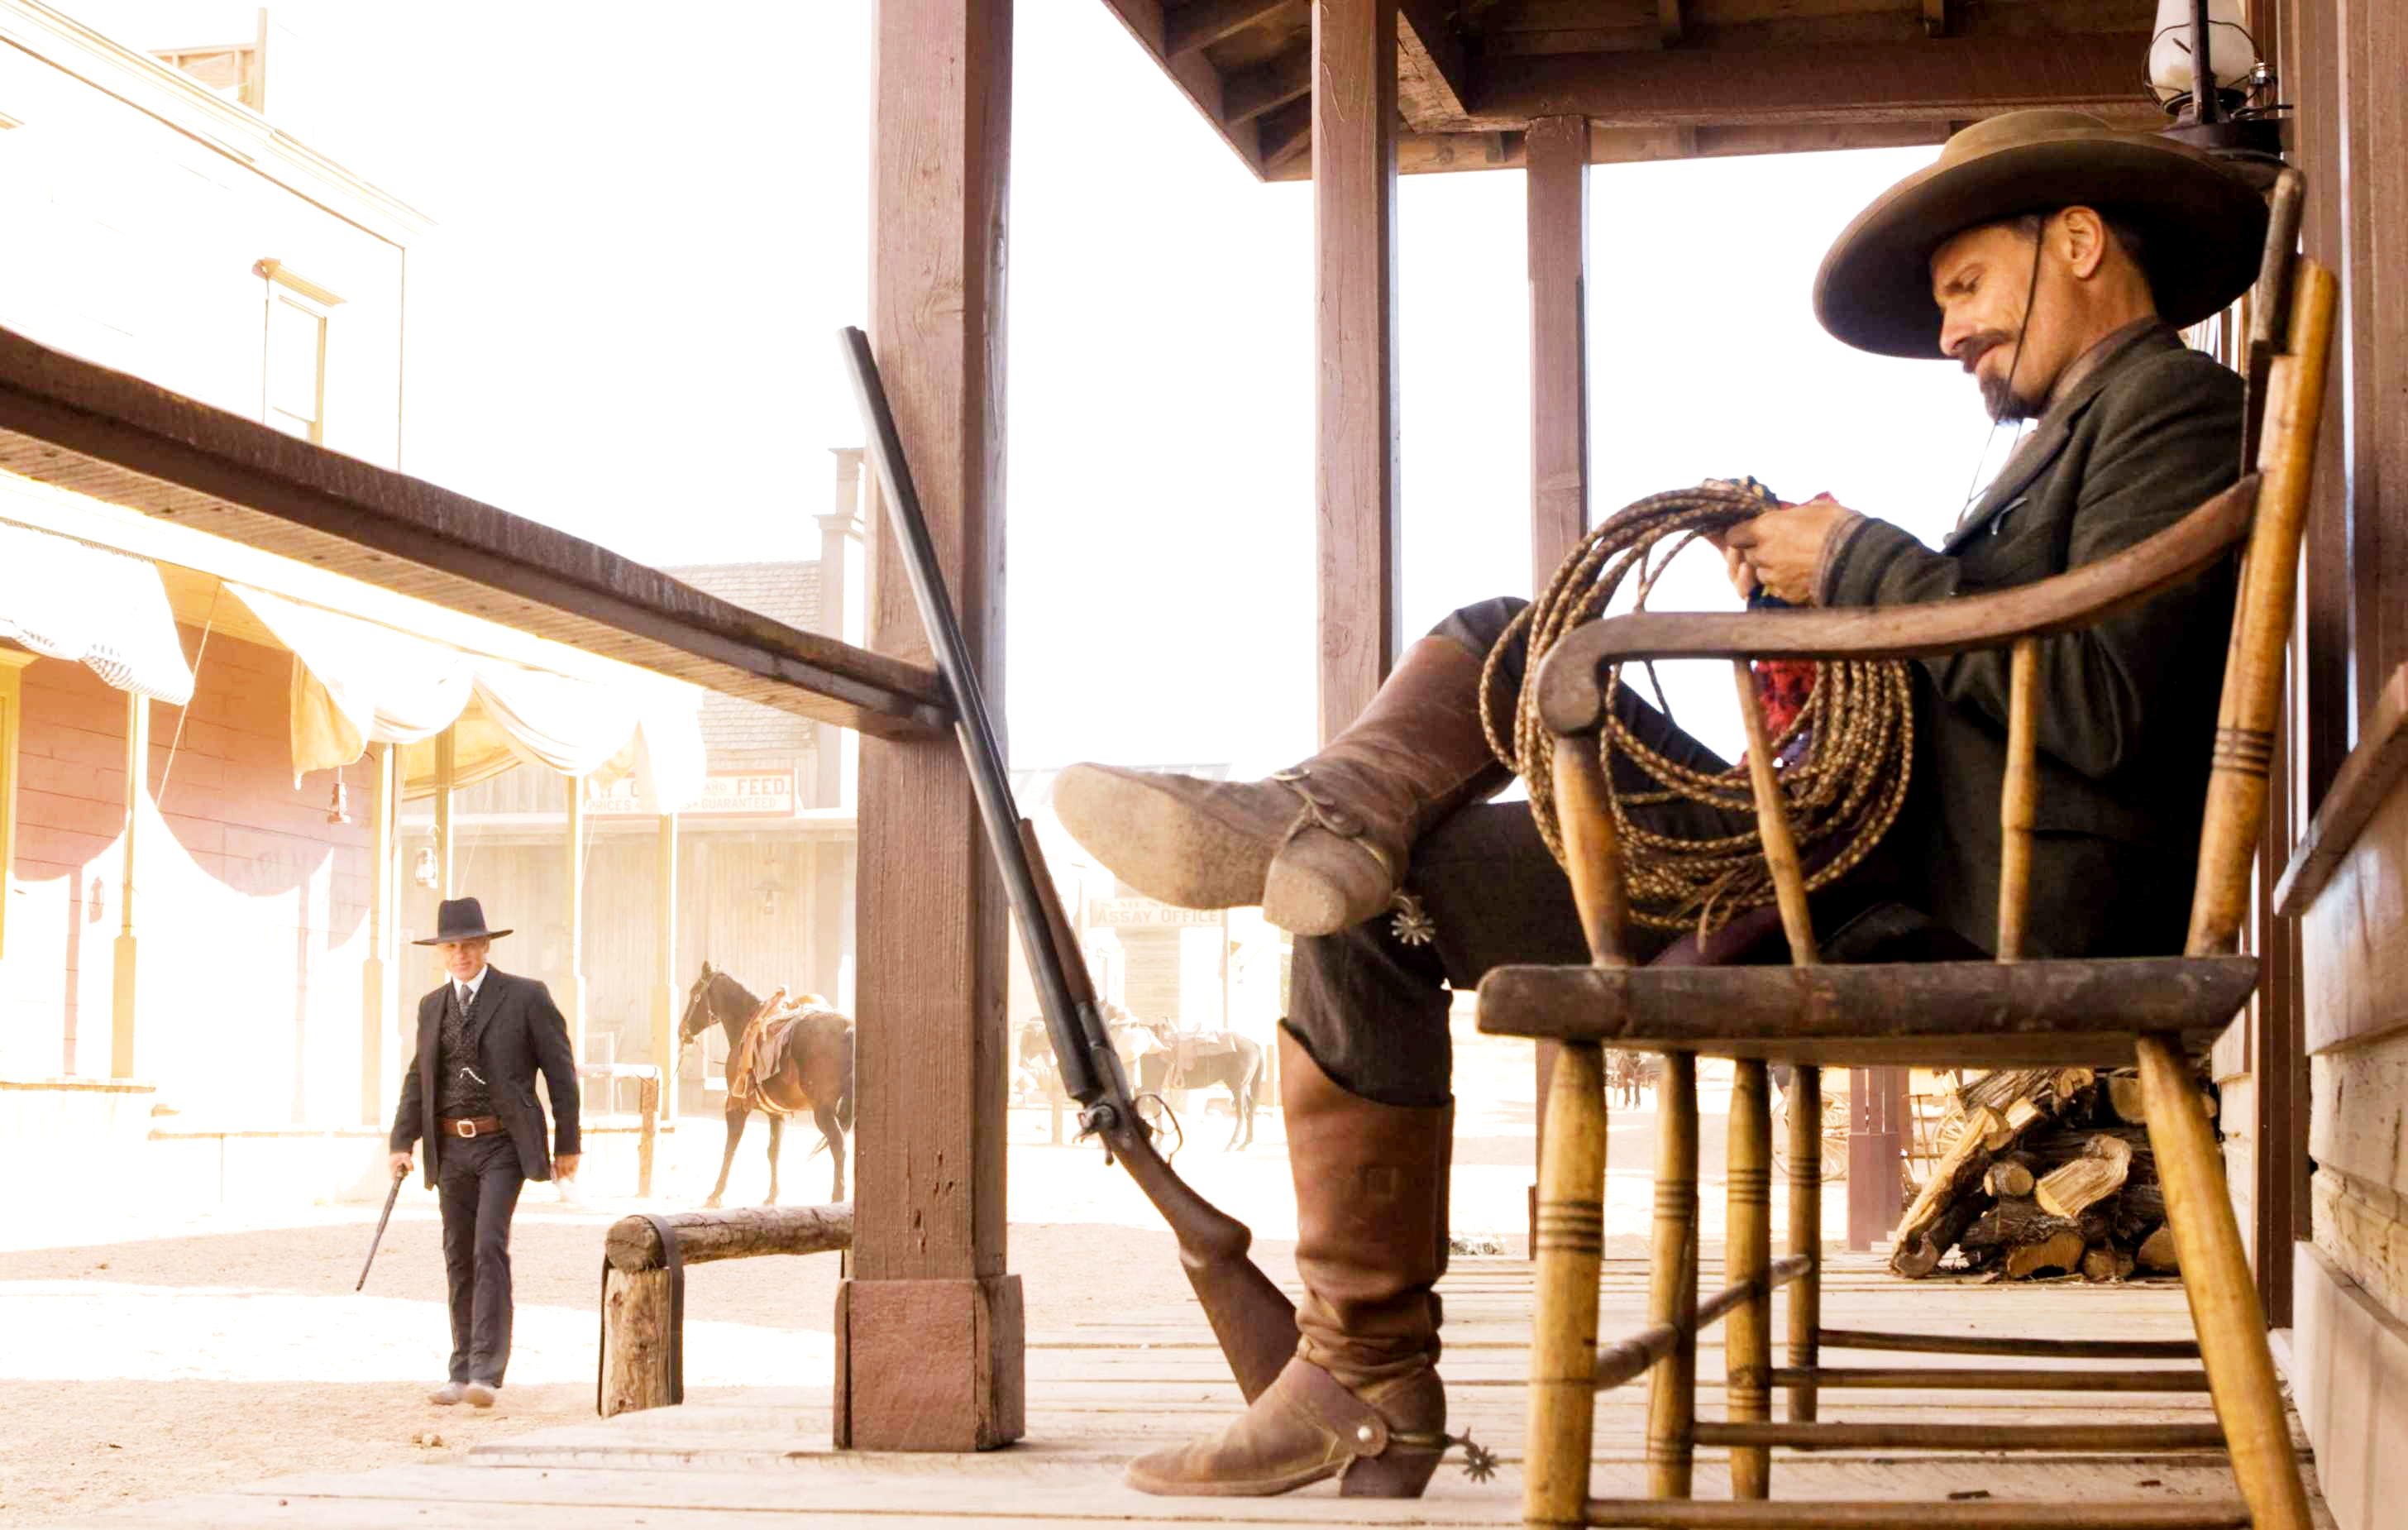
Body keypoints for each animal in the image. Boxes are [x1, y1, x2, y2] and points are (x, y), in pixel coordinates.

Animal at [679, 968, 857, 1209]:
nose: (681, 1030)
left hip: (824, 1112)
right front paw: (772, 1196)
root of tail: (849, 1029)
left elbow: (730, 1148)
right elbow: (774, 1151)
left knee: (838, 1147)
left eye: (694, 993)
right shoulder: (776, 1113)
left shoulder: (735, 1106)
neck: (747, 1022)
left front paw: (716, 1194)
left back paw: (837, 1197)